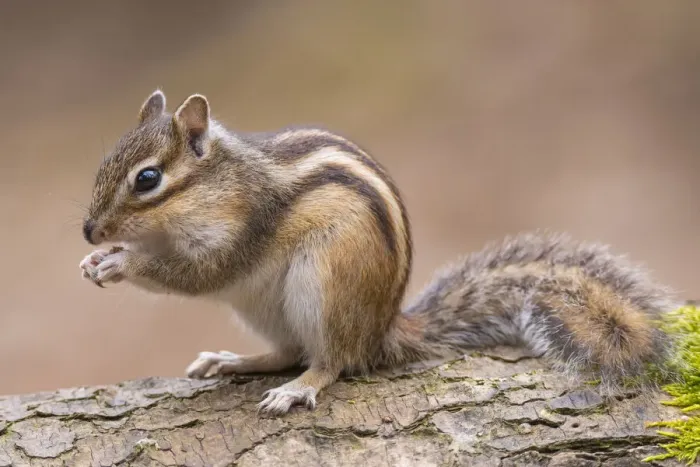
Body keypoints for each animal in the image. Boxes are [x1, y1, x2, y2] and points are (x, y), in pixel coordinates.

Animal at [79, 90, 681, 416]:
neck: (220, 182)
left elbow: (200, 273)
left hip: (324, 285)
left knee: (332, 360)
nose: (87, 232)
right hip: (267, 308)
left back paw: (297, 390)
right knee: (289, 350)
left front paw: (121, 262)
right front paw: (95, 261)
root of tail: (382, 330)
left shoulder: (241, 229)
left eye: (148, 179)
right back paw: (234, 361)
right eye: (104, 164)